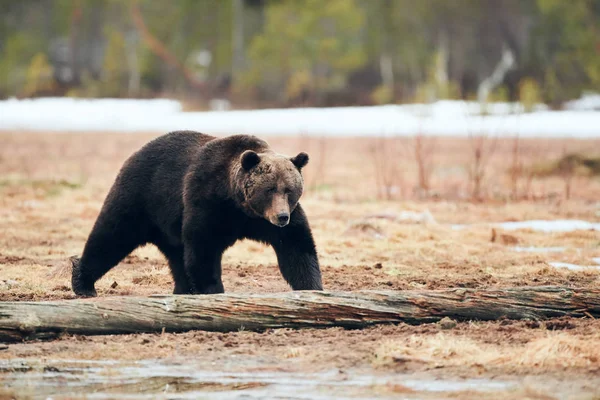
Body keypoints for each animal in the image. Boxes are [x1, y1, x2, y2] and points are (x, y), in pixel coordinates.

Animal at [71, 130, 324, 296]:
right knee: (112, 235)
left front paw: (312, 287)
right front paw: (212, 289)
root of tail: (135, 153)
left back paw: (182, 289)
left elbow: (297, 247)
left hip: (168, 224)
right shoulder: (208, 201)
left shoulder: (267, 221)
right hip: (141, 198)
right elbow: (203, 247)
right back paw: (83, 283)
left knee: (175, 255)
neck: (239, 204)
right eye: (269, 188)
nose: (281, 217)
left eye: (289, 189)